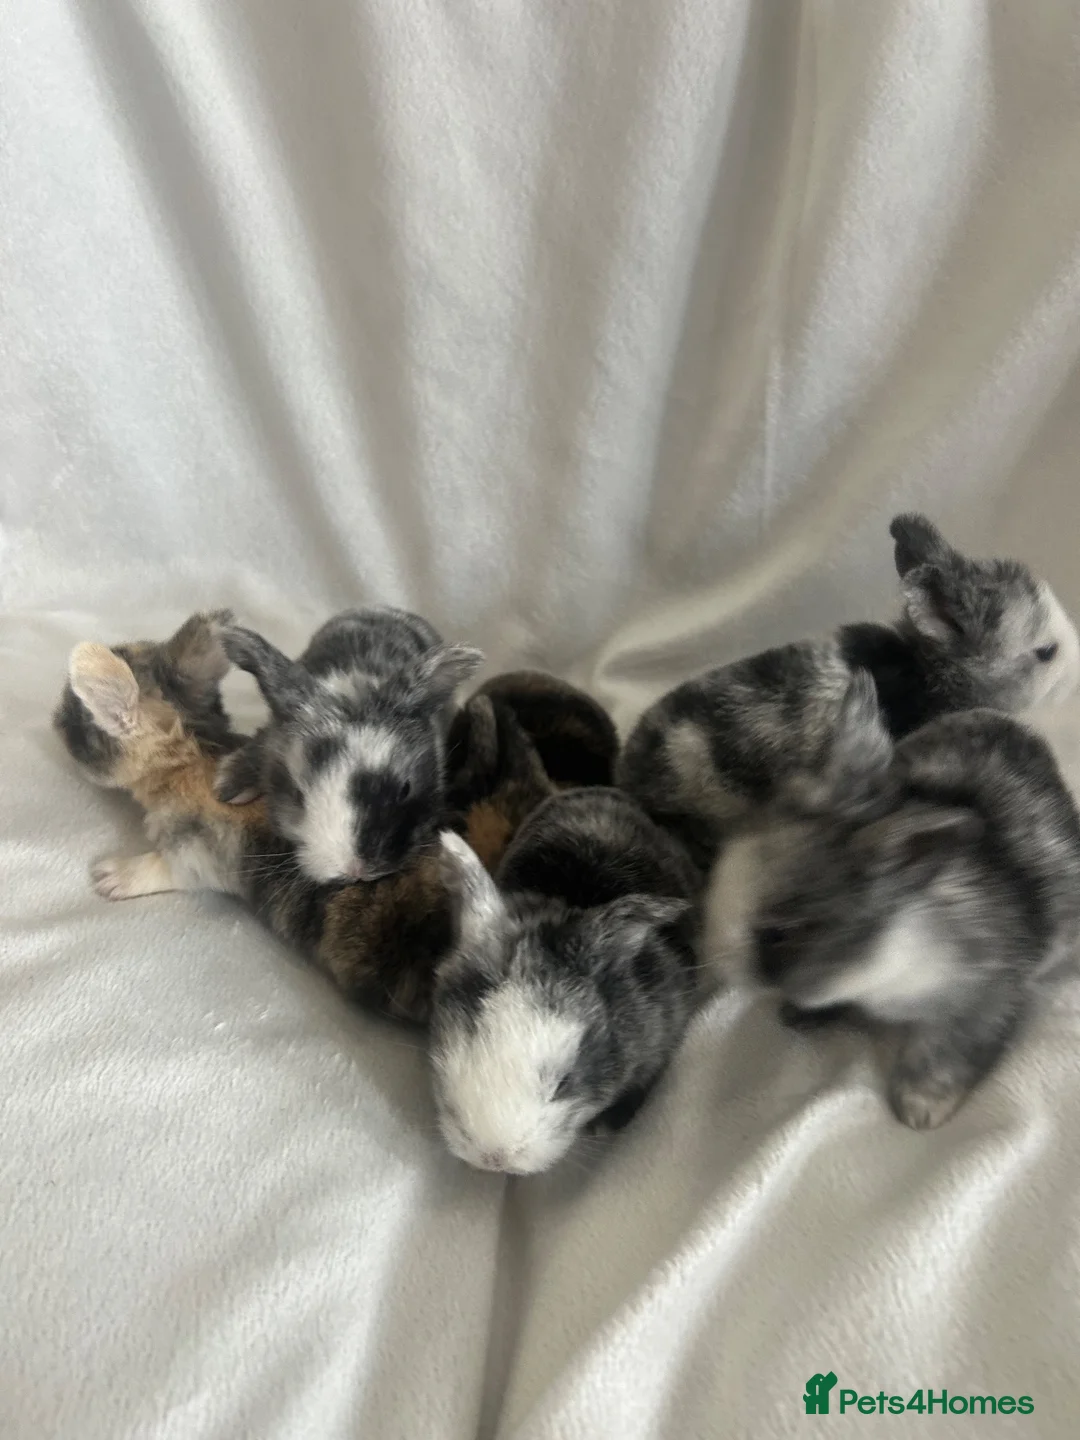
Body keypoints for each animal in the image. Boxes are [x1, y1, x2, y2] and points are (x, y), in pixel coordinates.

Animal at [705, 670, 1080, 1129]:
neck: (891, 943)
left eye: (782, 932)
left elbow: (945, 1053)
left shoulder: (984, 998)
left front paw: (920, 1110)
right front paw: (799, 1016)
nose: (717, 963)